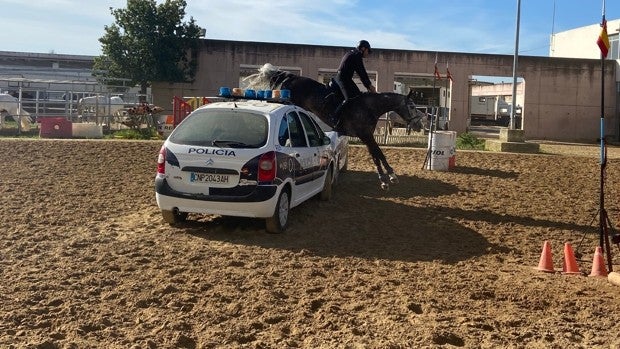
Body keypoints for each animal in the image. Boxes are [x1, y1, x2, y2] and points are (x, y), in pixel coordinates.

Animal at [245, 64, 428, 192]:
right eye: (412, 106)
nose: (419, 124)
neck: (370, 106)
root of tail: (288, 76)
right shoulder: (365, 135)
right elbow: (378, 154)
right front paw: (388, 177)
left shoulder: (367, 135)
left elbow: (376, 154)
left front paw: (388, 177)